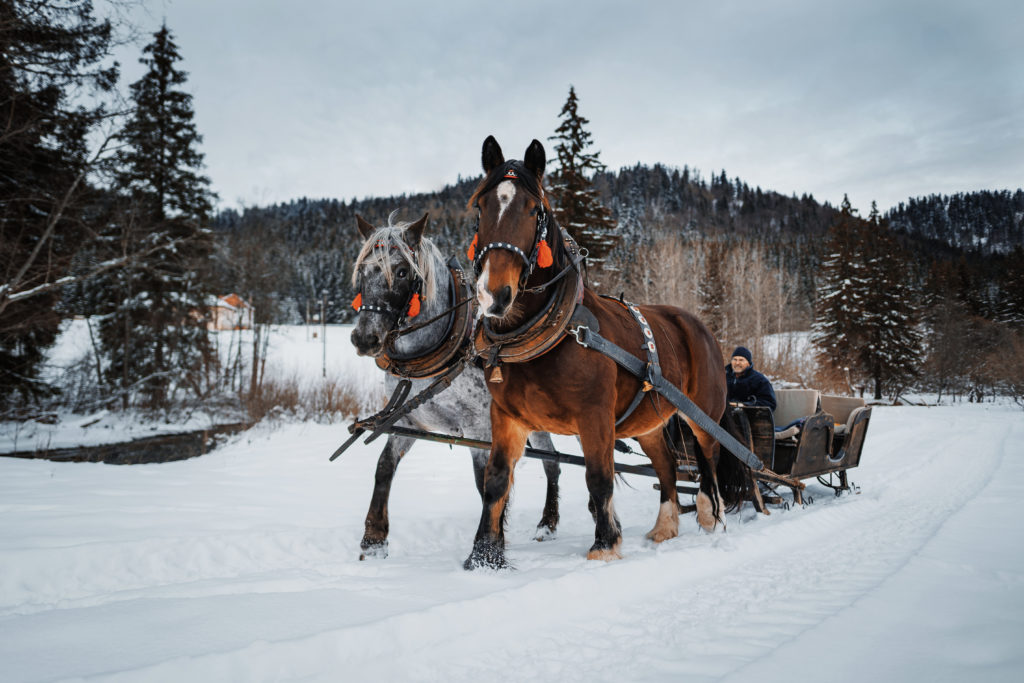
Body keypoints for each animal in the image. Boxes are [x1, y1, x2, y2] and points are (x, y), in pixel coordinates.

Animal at [350, 214, 561, 561]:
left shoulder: (479, 428)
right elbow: (384, 466)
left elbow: (486, 483)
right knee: (552, 460)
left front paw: (490, 549)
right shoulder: (408, 421)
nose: (365, 339)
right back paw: (548, 524)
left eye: (402, 271)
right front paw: (374, 539)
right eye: (363, 271)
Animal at [464, 136, 745, 569]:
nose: (494, 294)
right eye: (481, 207)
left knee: (708, 458)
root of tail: (698, 326)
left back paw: (709, 515)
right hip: (648, 423)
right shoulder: (507, 416)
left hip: (702, 412)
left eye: (534, 210)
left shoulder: (594, 415)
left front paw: (605, 544)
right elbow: (495, 481)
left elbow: (598, 478)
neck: (553, 332)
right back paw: (665, 527)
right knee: (666, 465)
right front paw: (482, 557)